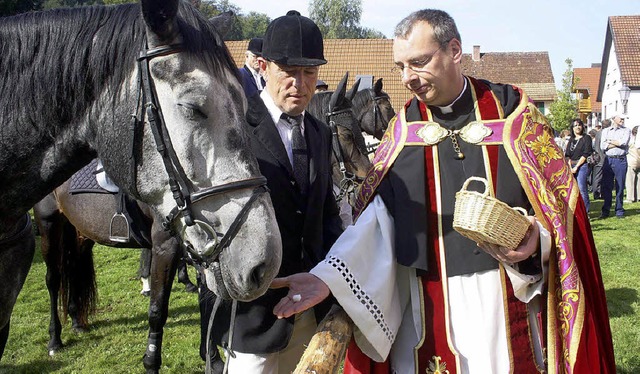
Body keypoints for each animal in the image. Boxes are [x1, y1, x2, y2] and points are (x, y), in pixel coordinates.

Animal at [0, 1, 282, 372]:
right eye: (192, 107)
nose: (264, 264)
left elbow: (207, 302)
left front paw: (210, 356)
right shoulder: (164, 242)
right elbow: (158, 309)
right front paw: (152, 359)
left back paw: (77, 320)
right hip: (48, 222)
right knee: (54, 277)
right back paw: (55, 338)